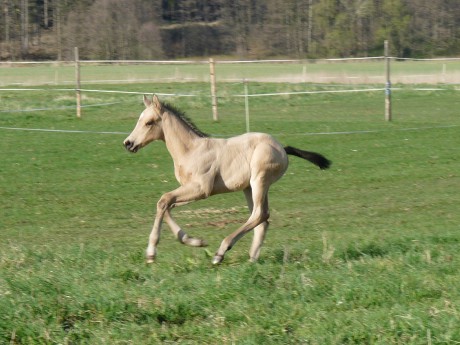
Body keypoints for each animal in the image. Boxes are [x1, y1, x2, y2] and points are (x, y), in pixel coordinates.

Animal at [124, 94, 328, 264]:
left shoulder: (201, 189)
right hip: (248, 188)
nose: (128, 143)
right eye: (139, 120)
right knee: (262, 220)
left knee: (260, 214)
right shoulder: (190, 189)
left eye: (149, 122)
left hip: (259, 180)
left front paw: (151, 253)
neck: (191, 150)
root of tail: (282, 149)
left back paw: (220, 253)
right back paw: (251, 260)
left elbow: (164, 200)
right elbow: (166, 205)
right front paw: (196, 241)